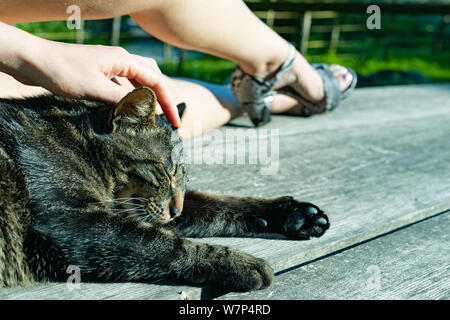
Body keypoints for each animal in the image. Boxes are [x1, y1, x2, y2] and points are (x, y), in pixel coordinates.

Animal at [0, 87, 330, 292]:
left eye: (183, 176)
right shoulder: (70, 220)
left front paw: (295, 214)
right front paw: (241, 263)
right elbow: (166, 245)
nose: (176, 211)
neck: (76, 141)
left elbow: (220, 203)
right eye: (165, 171)